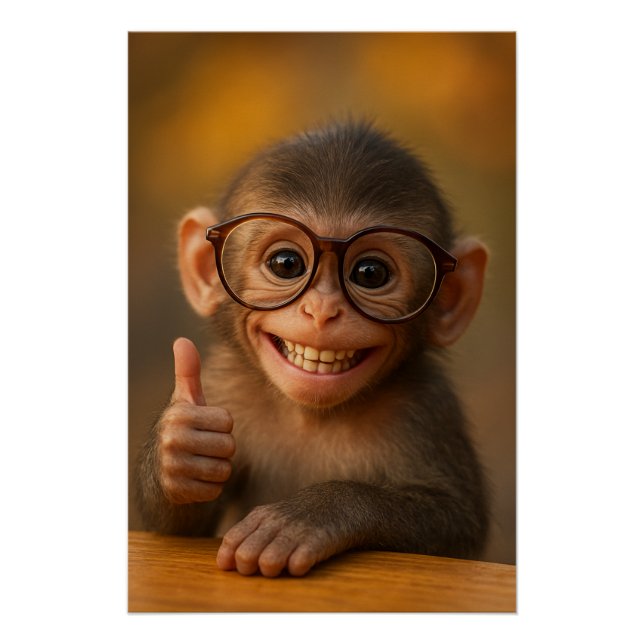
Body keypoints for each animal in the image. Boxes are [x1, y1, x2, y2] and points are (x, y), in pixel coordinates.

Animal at [135, 119, 490, 578]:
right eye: (286, 264)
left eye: (370, 273)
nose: (322, 310)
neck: (312, 416)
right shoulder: (222, 382)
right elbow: (178, 531)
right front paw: (180, 447)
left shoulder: (428, 407)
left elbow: (457, 523)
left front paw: (312, 514)